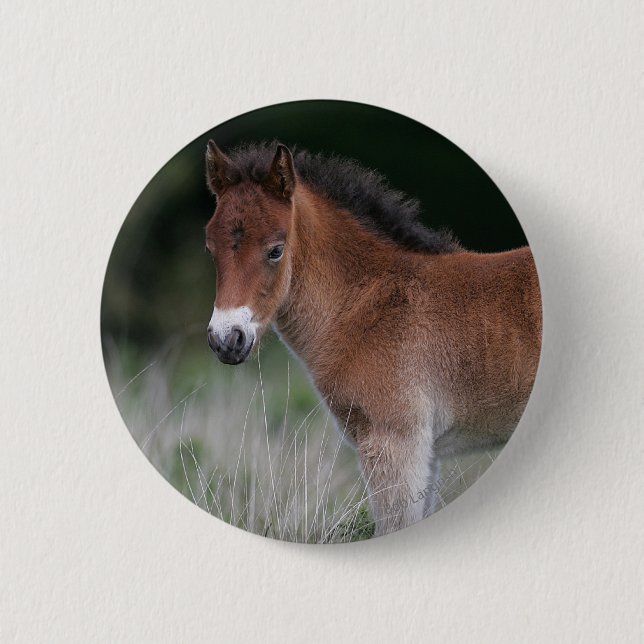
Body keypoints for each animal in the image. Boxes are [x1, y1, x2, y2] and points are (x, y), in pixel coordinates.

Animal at [203, 140, 542, 537]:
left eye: (276, 250)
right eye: (210, 248)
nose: (226, 339)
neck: (368, 303)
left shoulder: (395, 443)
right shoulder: (424, 453)